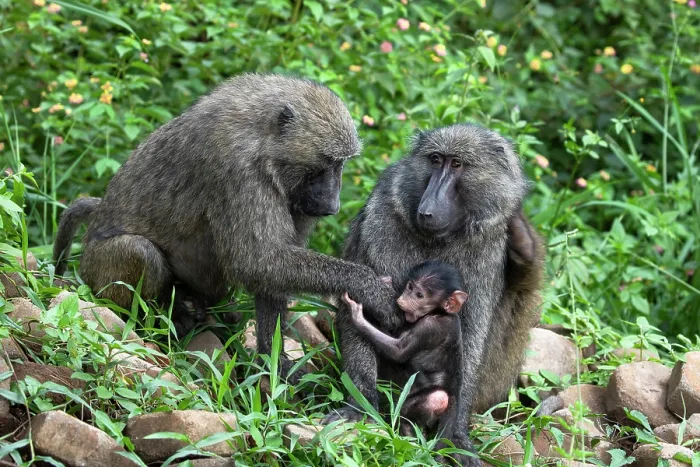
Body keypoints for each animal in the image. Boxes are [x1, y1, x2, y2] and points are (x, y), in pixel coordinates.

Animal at [52, 73, 401, 381]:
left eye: (340, 164)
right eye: (325, 164)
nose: (331, 207)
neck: (262, 135)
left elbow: (271, 269)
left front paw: (274, 361)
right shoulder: (237, 167)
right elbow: (258, 261)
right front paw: (371, 289)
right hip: (97, 269)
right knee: (140, 252)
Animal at [342, 260, 468, 438]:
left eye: (419, 295)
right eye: (409, 287)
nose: (402, 300)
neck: (441, 312)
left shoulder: (431, 327)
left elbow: (398, 351)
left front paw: (357, 314)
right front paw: (386, 282)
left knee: (437, 398)